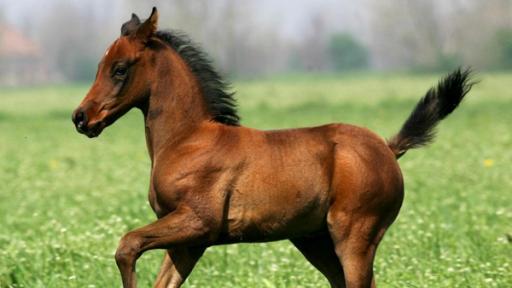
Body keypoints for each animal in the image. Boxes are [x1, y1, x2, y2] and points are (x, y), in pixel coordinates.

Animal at [71, 7, 472, 288]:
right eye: (101, 65)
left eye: (120, 68)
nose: (81, 118)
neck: (188, 140)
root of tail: (387, 148)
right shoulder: (188, 241)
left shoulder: (197, 222)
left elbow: (127, 245)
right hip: (315, 241)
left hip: (355, 236)